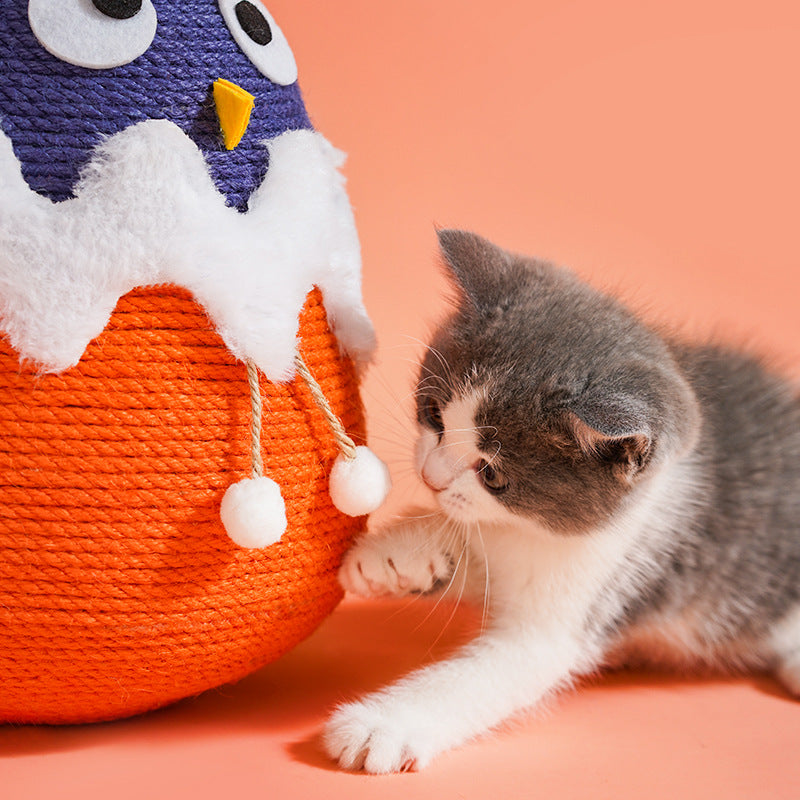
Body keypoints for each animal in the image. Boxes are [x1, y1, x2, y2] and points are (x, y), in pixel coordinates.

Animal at [322, 231, 796, 776]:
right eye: (434, 416)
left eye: (493, 474)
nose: (430, 477)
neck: (533, 527)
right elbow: (478, 551)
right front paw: (400, 556)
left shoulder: (595, 583)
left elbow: (490, 674)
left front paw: (378, 727)